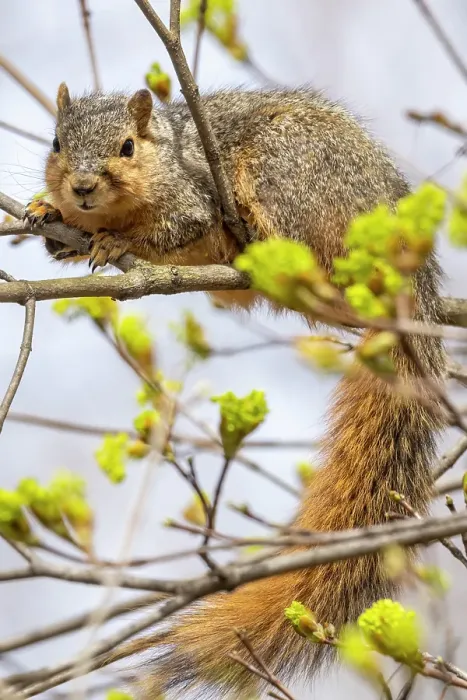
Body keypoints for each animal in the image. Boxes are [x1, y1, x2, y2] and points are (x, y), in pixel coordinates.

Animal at [27, 83, 445, 697]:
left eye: (127, 146)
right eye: (56, 142)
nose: (79, 187)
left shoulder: (195, 196)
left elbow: (176, 228)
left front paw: (111, 239)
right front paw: (46, 212)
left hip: (287, 175)